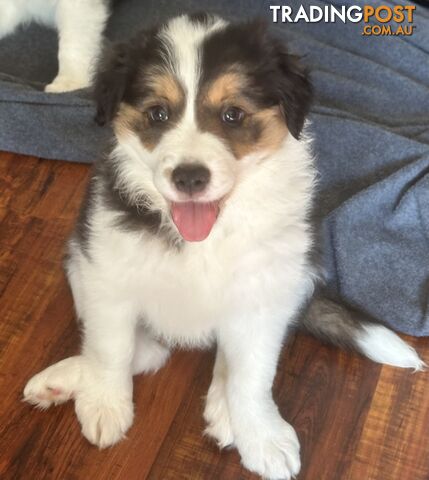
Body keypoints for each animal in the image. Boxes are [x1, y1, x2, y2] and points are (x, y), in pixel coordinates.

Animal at [22, 14, 422, 480]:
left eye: (233, 115)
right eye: (157, 113)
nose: (189, 177)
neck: (205, 238)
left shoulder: (265, 295)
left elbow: (253, 375)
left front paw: (262, 435)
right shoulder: (107, 268)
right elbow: (111, 347)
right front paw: (104, 402)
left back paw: (222, 408)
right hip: (78, 257)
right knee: (146, 348)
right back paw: (63, 379)